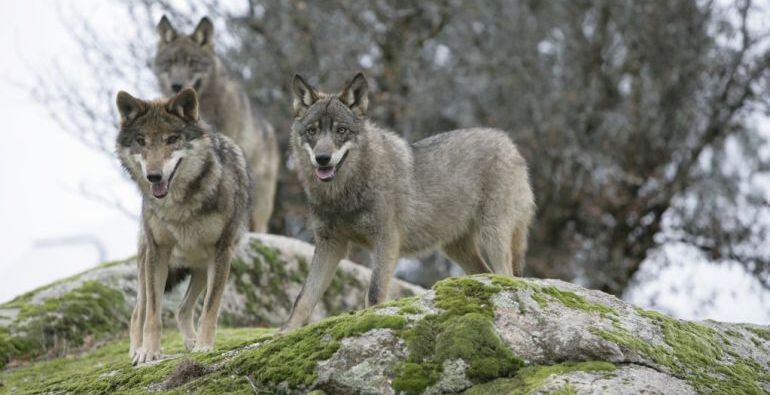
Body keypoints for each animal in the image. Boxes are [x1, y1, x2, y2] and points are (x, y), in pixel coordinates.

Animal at [115, 88, 252, 364]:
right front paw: (149, 352)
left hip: (202, 268)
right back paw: (136, 350)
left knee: (182, 308)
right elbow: (153, 314)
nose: (154, 176)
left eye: (171, 139)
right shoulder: (158, 252)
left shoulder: (222, 252)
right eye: (141, 141)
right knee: (138, 312)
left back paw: (191, 342)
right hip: (147, 265)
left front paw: (204, 346)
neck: (178, 206)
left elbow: (210, 308)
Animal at [282, 72, 536, 332]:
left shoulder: (386, 240)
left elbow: (374, 293)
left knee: (508, 275)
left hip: (492, 237)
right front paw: (285, 333)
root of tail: (509, 144)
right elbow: (303, 298)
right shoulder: (330, 245)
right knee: (486, 274)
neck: (343, 193)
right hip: (456, 248)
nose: (323, 159)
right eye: (312, 131)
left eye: (341, 130)